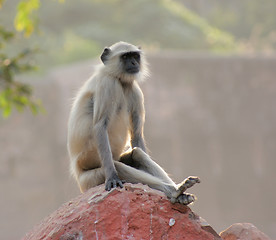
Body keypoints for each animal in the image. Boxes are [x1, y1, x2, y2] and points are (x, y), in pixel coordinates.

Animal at [67, 40, 201, 204]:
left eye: (135, 56)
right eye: (125, 57)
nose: (133, 63)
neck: (119, 79)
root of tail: (78, 179)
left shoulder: (134, 90)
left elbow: (136, 135)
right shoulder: (108, 83)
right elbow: (100, 126)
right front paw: (112, 177)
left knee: (137, 153)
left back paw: (179, 192)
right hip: (89, 179)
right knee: (118, 166)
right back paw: (174, 191)